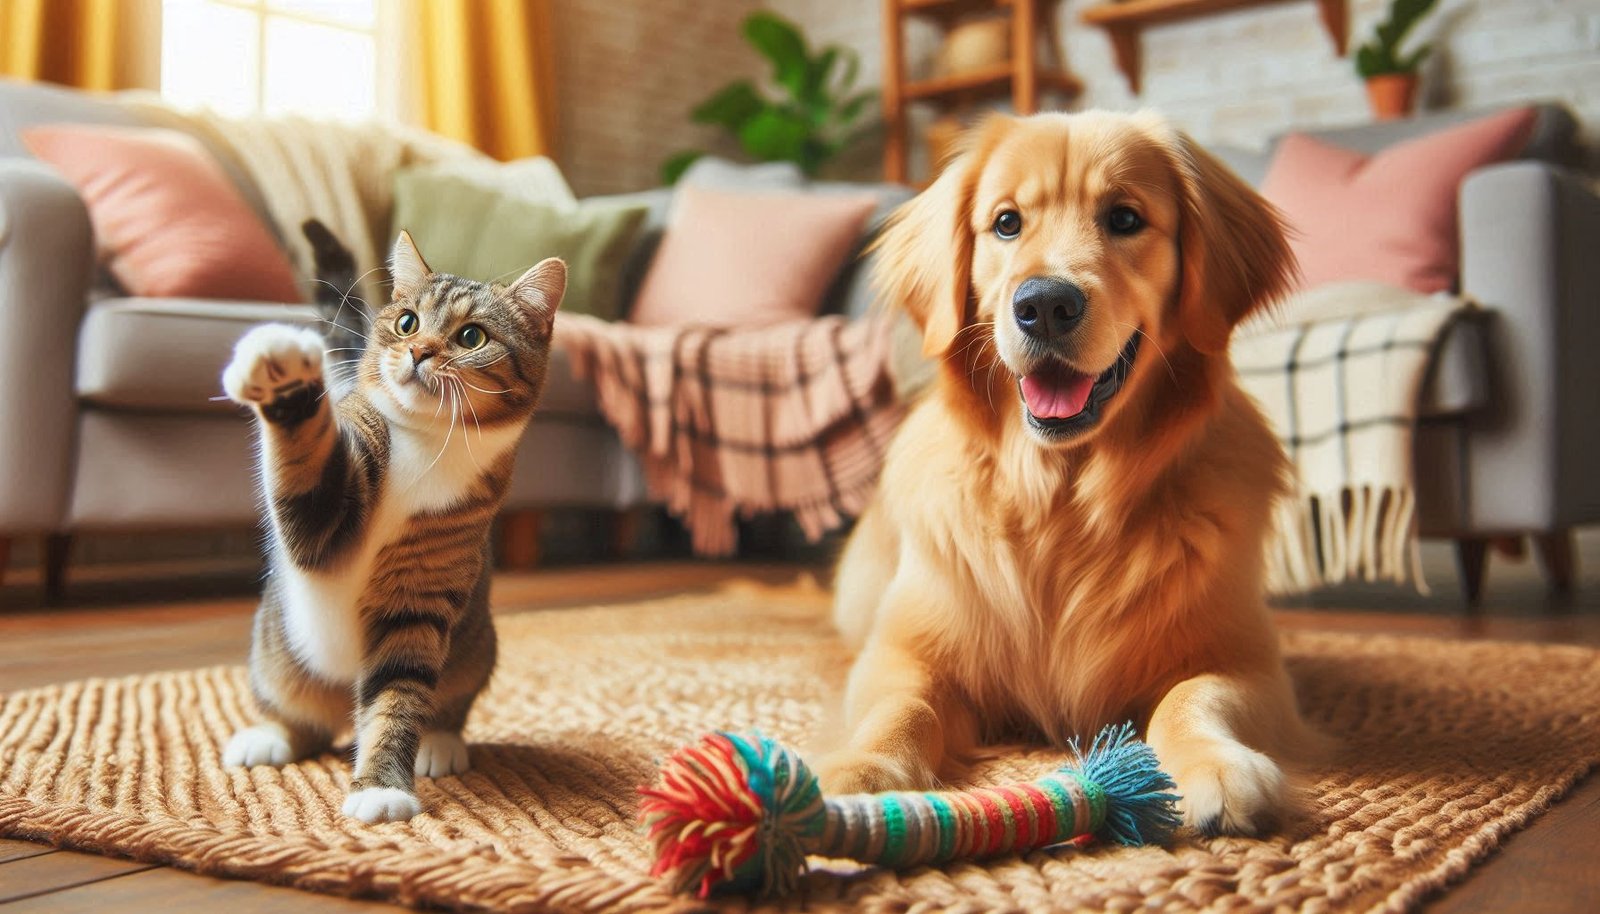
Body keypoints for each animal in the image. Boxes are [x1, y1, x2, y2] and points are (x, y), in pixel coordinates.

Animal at [222, 228, 566, 819]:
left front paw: (381, 786)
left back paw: (440, 742)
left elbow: (397, 691)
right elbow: (309, 476)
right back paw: (269, 736)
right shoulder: (325, 521)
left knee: (442, 704)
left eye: (471, 336)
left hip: (475, 651)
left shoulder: (419, 597)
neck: (425, 444)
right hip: (277, 658)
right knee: (300, 721)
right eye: (407, 322)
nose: (418, 351)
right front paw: (286, 373)